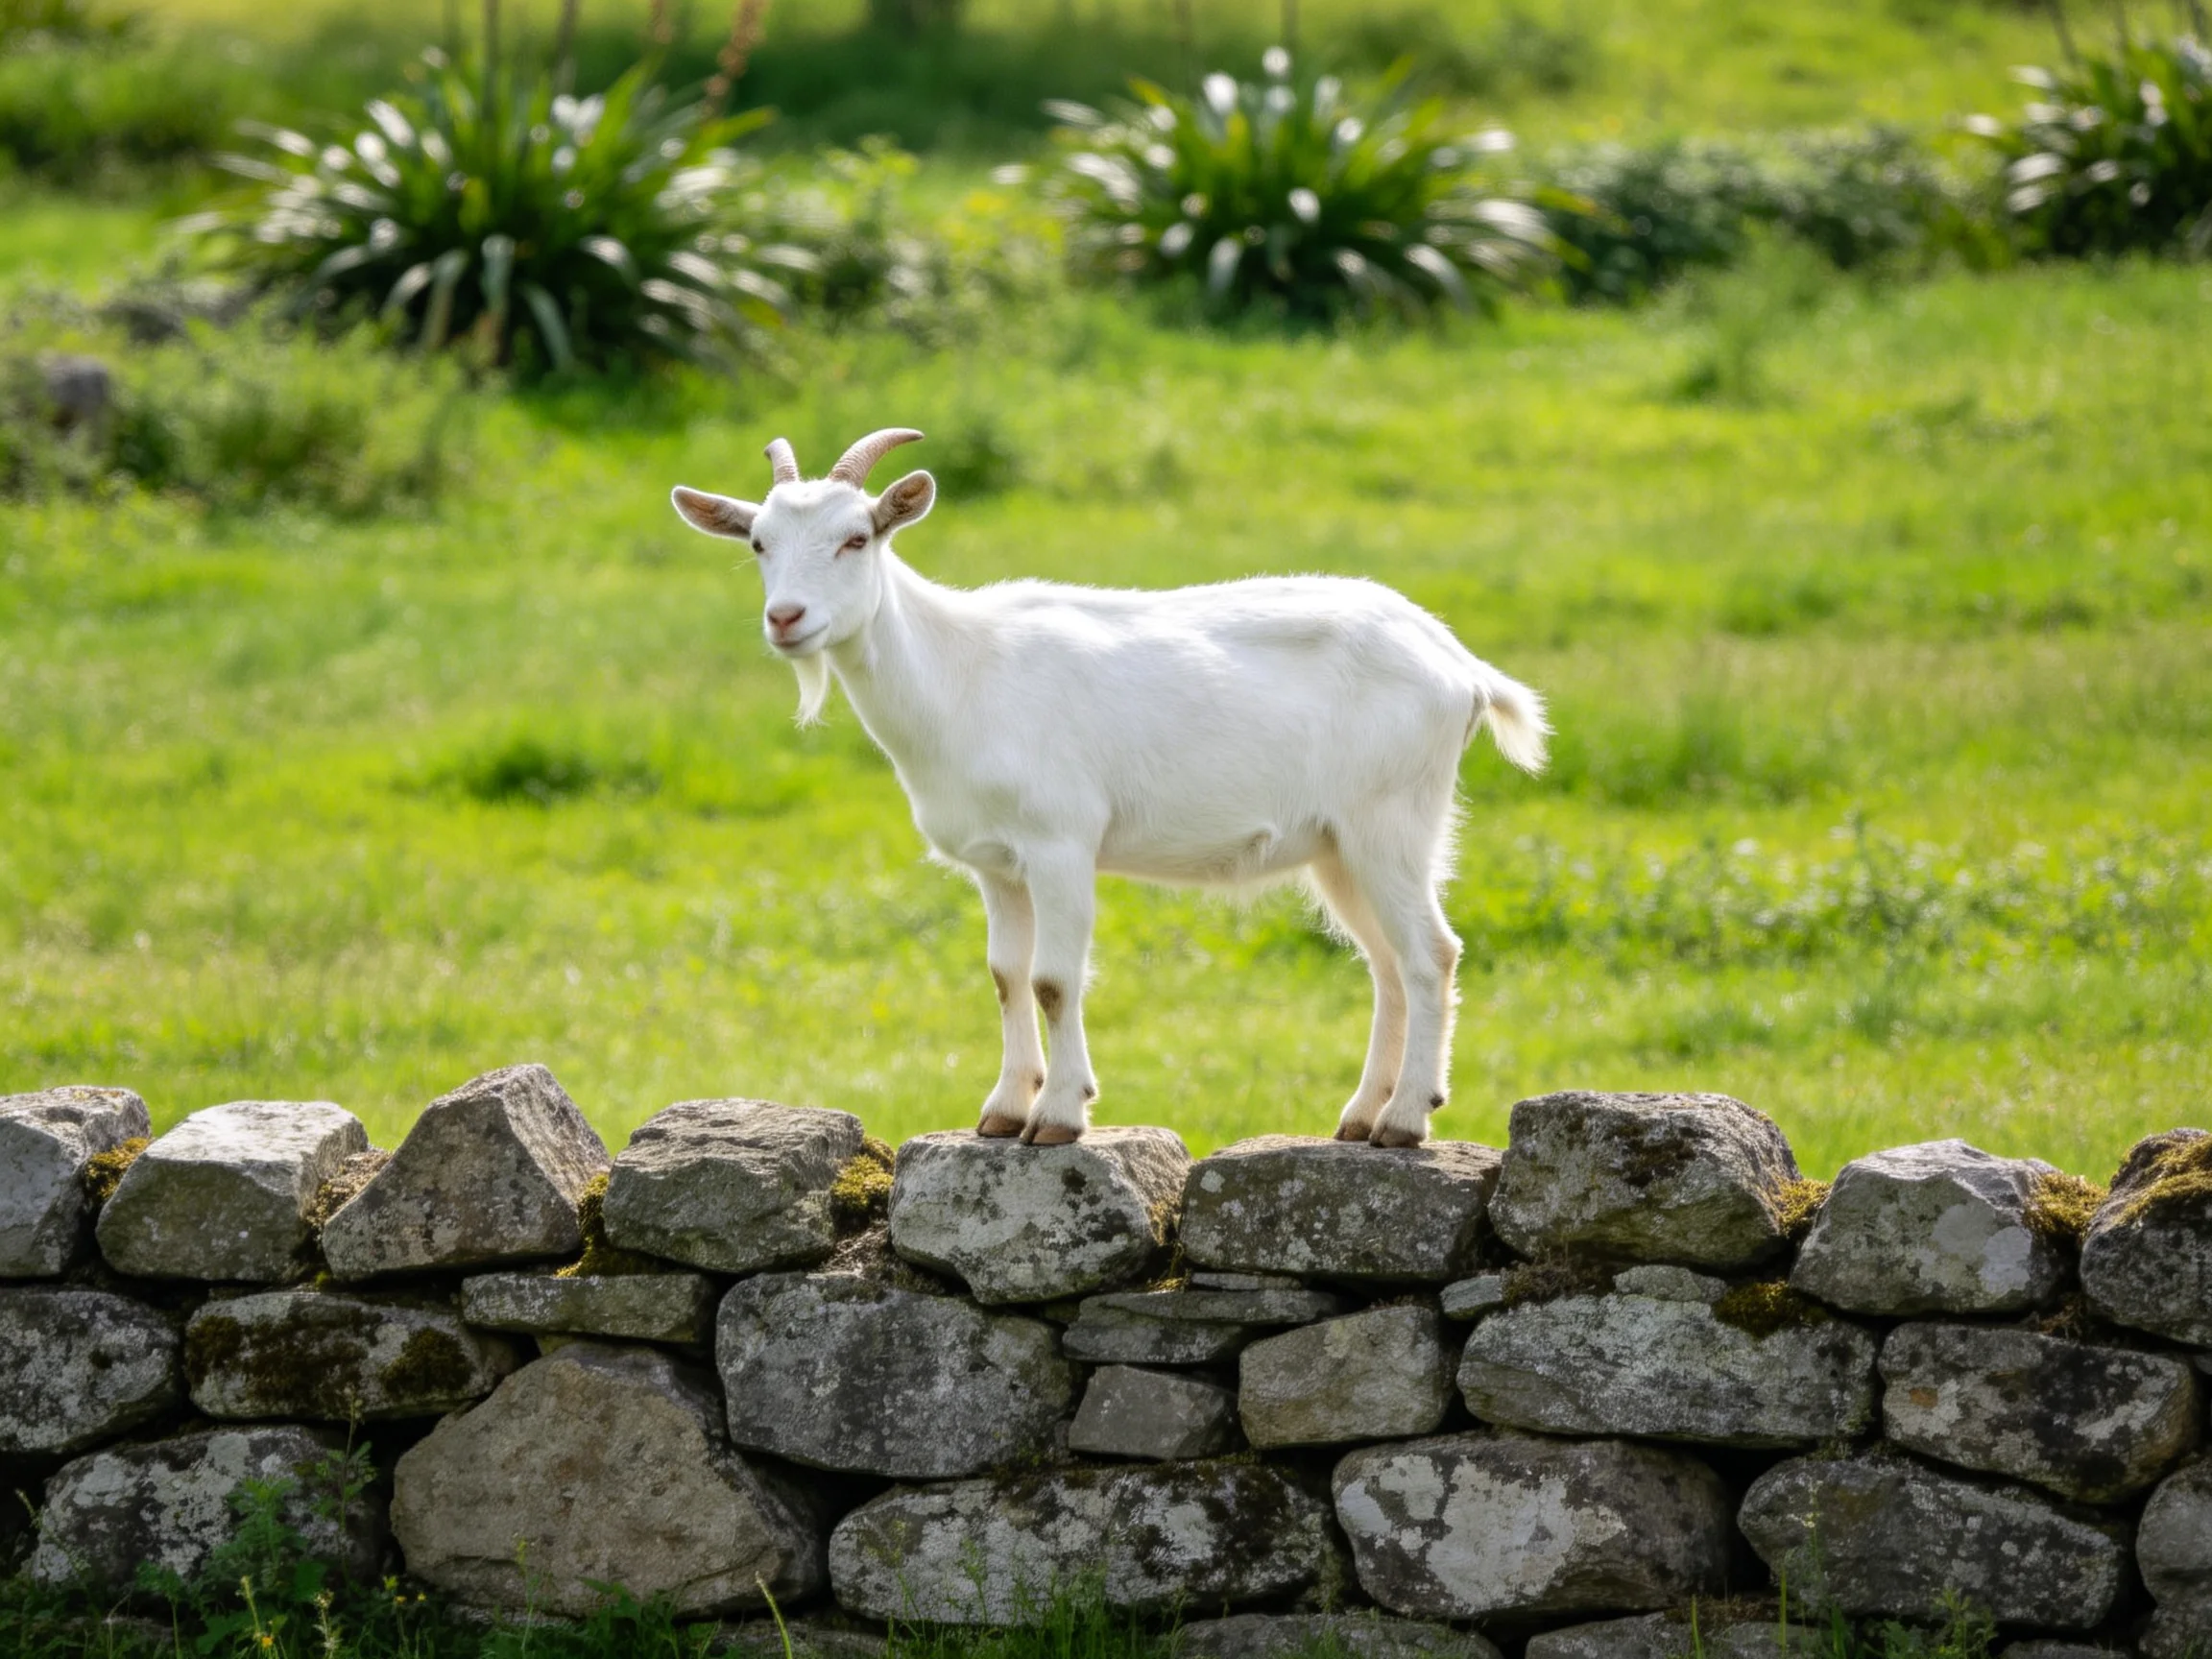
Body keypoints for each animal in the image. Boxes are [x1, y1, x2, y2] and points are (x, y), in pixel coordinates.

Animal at [671, 428, 1548, 1148]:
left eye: (857, 538)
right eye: (758, 542)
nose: (787, 619)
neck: (960, 673)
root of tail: (1458, 663)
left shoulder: (1060, 842)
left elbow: (1055, 981)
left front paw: (1058, 1116)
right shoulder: (996, 864)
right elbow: (1005, 976)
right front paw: (1003, 1110)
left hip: (1391, 820)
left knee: (1431, 953)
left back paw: (1404, 1121)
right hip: (1338, 846)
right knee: (1386, 964)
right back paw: (1364, 1115)